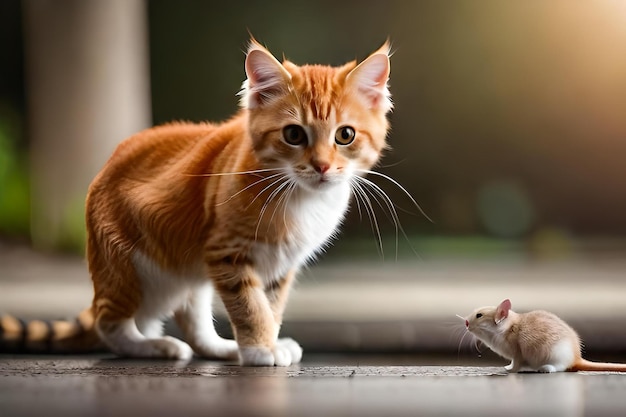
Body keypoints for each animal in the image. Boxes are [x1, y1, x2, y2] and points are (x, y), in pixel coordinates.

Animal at [0, 38, 390, 364]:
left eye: (345, 135)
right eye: (294, 135)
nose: (322, 166)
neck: (297, 194)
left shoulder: (278, 265)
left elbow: (270, 305)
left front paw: (263, 343)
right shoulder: (226, 252)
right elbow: (250, 306)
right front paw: (260, 349)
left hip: (190, 273)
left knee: (193, 321)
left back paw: (222, 347)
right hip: (137, 269)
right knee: (110, 323)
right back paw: (154, 346)